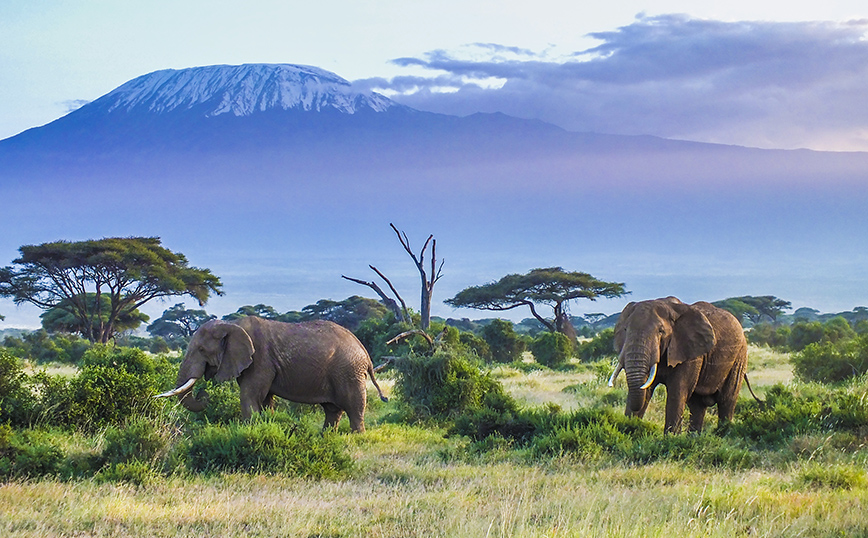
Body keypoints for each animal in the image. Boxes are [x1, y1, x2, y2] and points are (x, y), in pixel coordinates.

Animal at [155, 314, 386, 432]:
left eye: (202, 350)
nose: (205, 394)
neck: (231, 324)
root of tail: (364, 350)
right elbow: (264, 399)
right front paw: (266, 425)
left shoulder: (260, 359)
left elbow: (249, 396)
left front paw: (250, 431)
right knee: (332, 409)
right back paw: (326, 436)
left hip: (348, 371)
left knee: (353, 406)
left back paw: (356, 437)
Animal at [612, 296, 744, 434]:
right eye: (625, 330)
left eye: (661, 331)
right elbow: (645, 389)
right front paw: (629, 430)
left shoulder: (690, 353)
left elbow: (677, 392)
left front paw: (670, 438)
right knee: (697, 405)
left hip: (739, 357)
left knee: (727, 400)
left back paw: (723, 433)